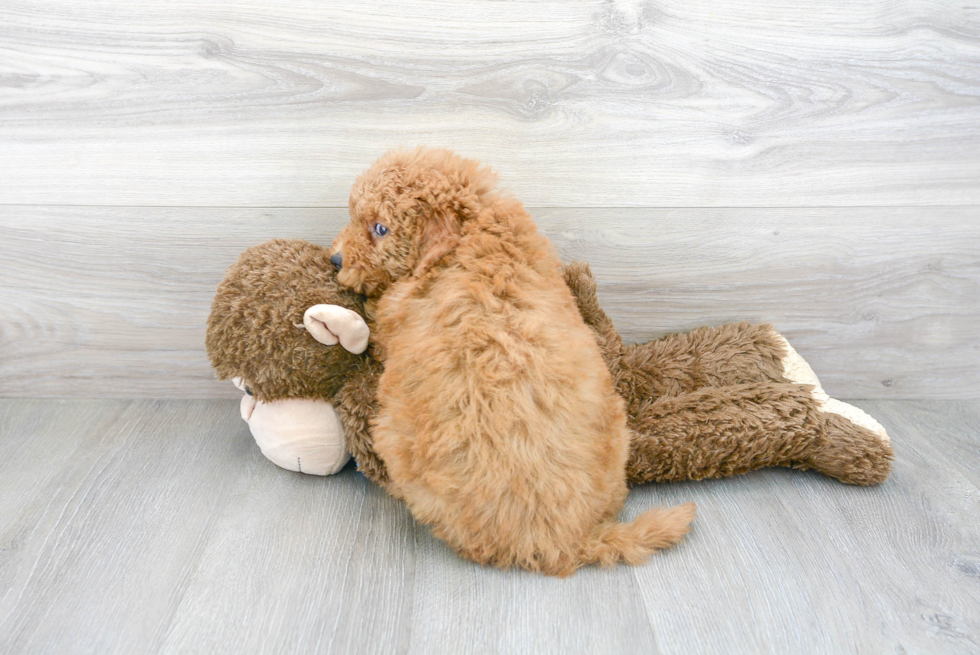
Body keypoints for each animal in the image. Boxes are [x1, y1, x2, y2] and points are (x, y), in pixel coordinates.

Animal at [332, 147, 696, 576]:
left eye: (380, 228)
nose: (335, 259)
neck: (472, 232)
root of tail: (569, 542)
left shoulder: (395, 312)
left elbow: (379, 318)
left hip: (400, 445)